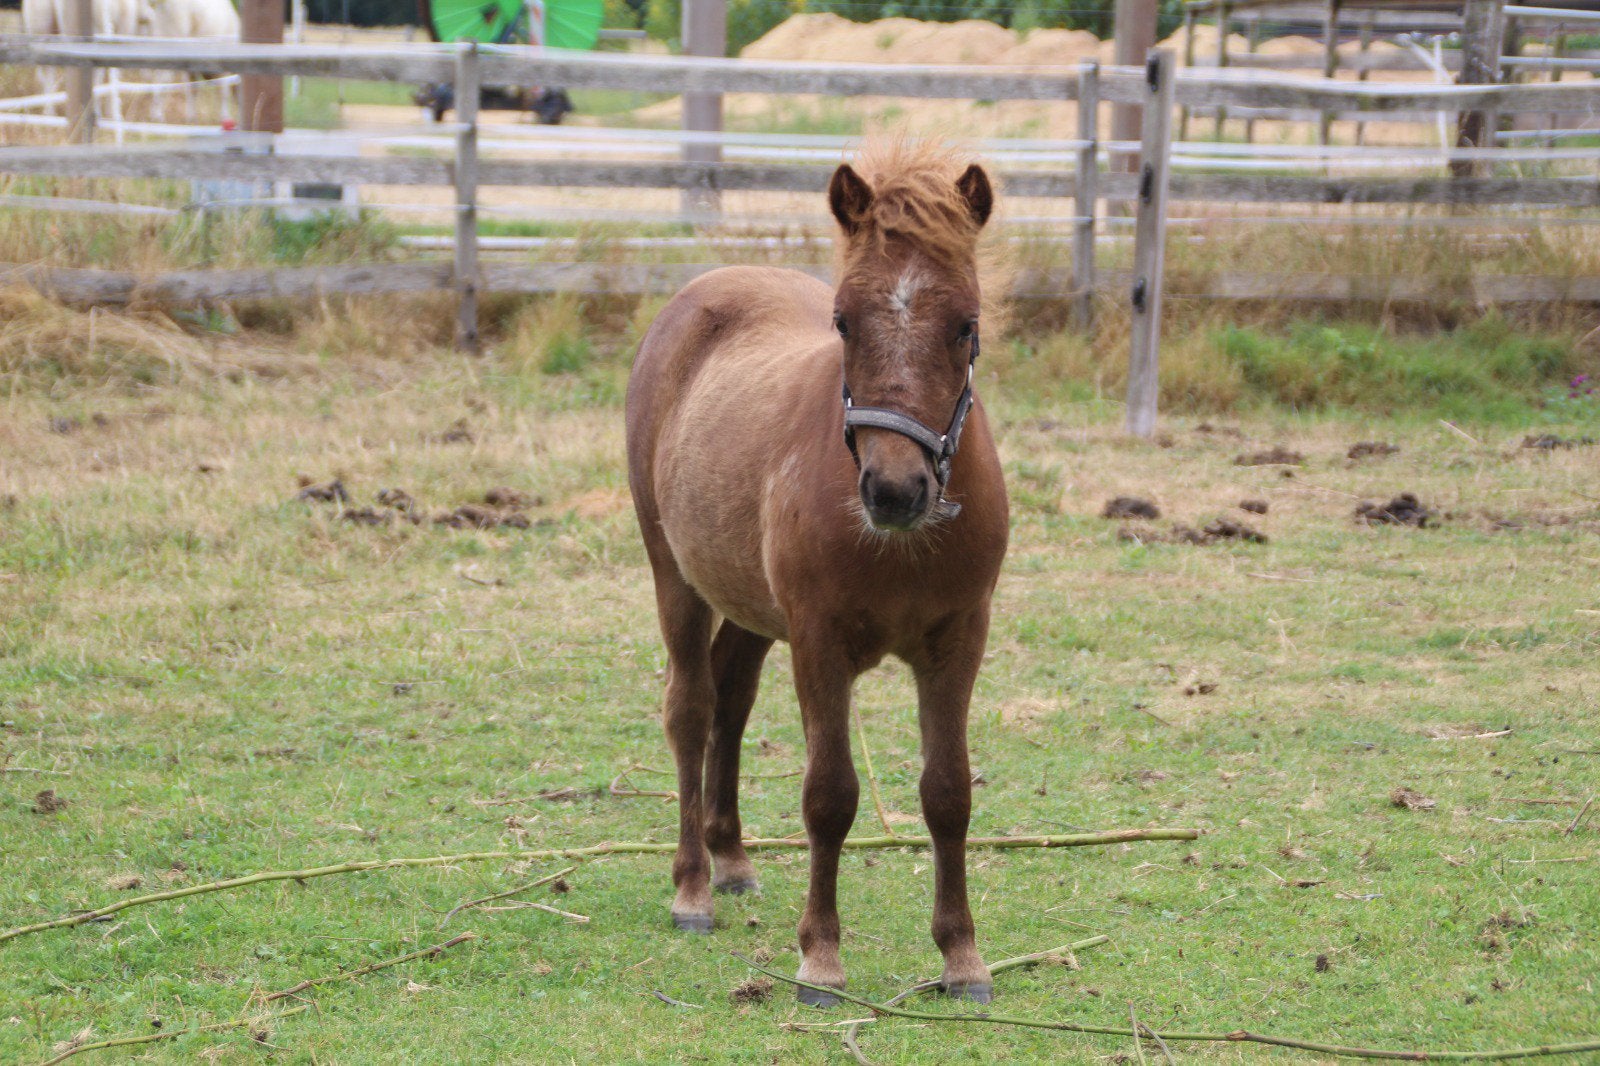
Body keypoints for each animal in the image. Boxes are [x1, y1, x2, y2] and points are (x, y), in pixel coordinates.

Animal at [626, 140, 1009, 1006]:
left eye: (965, 325)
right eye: (842, 320)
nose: (895, 490)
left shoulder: (959, 640)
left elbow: (948, 793)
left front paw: (963, 957)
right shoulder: (820, 641)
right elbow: (830, 796)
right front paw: (822, 959)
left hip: (750, 605)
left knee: (731, 697)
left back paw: (732, 859)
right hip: (677, 577)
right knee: (691, 709)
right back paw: (693, 888)